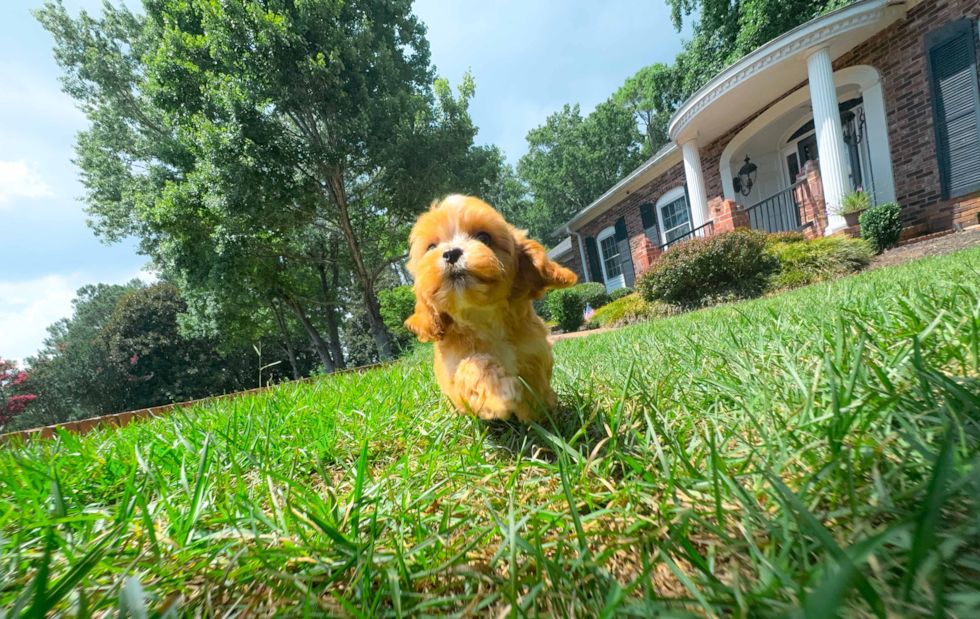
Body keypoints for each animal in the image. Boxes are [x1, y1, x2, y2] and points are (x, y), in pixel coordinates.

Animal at [404, 196, 576, 424]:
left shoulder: (534, 352)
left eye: (484, 237)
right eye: (431, 246)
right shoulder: (454, 375)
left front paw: (543, 415)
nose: (450, 253)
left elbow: (536, 386)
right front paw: (499, 393)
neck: (481, 314)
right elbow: (472, 366)